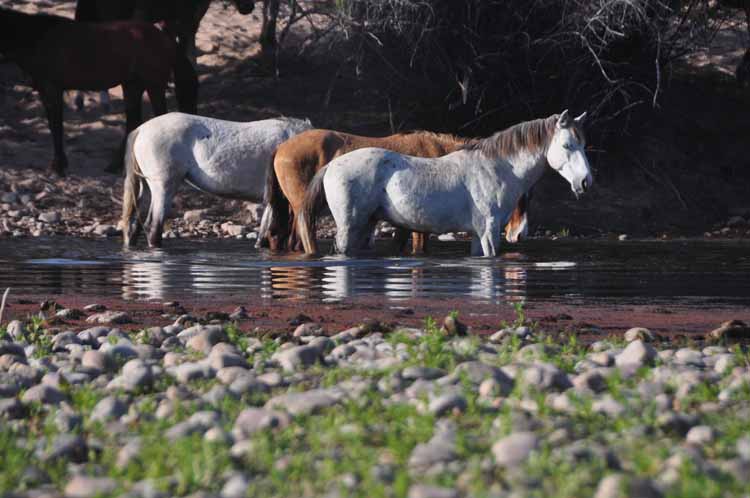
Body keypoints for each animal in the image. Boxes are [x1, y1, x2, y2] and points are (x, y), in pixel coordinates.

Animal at [0, 6, 197, 176]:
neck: (37, 38)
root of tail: (166, 40)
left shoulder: (51, 89)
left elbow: (56, 126)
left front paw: (57, 167)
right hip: (132, 86)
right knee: (133, 122)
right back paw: (116, 166)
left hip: (153, 85)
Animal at [122, 111, 312, 247]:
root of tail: (141, 129)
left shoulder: (271, 200)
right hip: (163, 187)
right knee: (153, 228)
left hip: (147, 188)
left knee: (134, 226)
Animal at [298, 112, 592, 256]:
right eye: (567, 145)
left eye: (583, 143)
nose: (585, 182)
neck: (496, 168)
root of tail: (332, 165)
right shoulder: (489, 232)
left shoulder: (478, 235)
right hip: (349, 227)